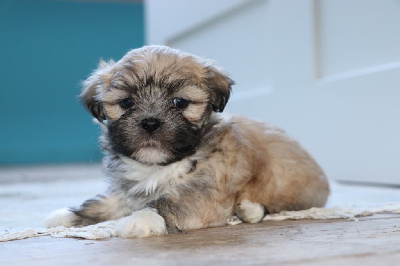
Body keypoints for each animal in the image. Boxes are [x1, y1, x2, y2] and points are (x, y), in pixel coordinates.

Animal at [45, 45, 330, 237]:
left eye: (179, 102)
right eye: (126, 103)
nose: (150, 123)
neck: (159, 166)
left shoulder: (205, 190)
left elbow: (170, 203)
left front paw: (141, 219)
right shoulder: (127, 189)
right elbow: (105, 201)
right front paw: (67, 215)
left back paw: (249, 210)